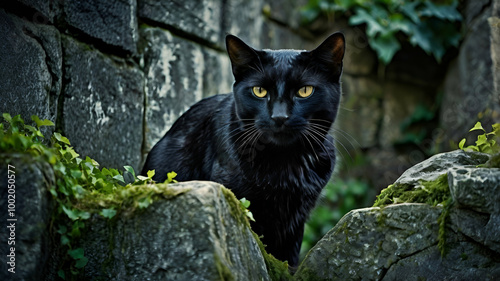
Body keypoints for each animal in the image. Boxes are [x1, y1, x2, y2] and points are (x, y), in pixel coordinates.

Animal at [141, 32, 344, 266]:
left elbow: (289, 256)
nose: (279, 116)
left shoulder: (296, 218)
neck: (284, 163)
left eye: (304, 91)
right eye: (259, 91)